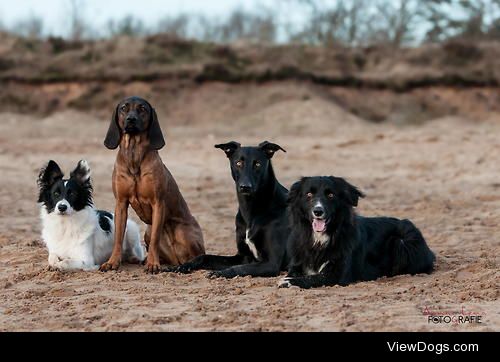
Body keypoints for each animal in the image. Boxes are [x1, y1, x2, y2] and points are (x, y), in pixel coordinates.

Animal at [100, 97, 205, 272]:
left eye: (142, 108)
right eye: (123, 108)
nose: (131, 119)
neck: (134, 155)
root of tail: (177, 260)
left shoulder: (158, 203)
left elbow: (156, 238)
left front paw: (153, 264)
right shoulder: (121, 203)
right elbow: (118, 238)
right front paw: (112, 262)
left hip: (182, 231)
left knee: (197, 256)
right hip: (147, 232)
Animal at [170, 141, 292, 278]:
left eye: (257, 164)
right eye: (238, 163)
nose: (245, 187)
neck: (252, 211)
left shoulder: (271, 263)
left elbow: (240, 268)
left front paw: (220, 273)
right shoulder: (243, 256)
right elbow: (205, 257)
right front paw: (182, 266)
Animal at [280, 175, 436, 288]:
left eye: (330, 195)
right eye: (308, 194)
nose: (318, 211)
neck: (319, 238)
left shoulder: (337, 273)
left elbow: (313, 277)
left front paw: (289, 282)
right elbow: (294, 272)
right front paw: (288, 278)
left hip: (402, 242)